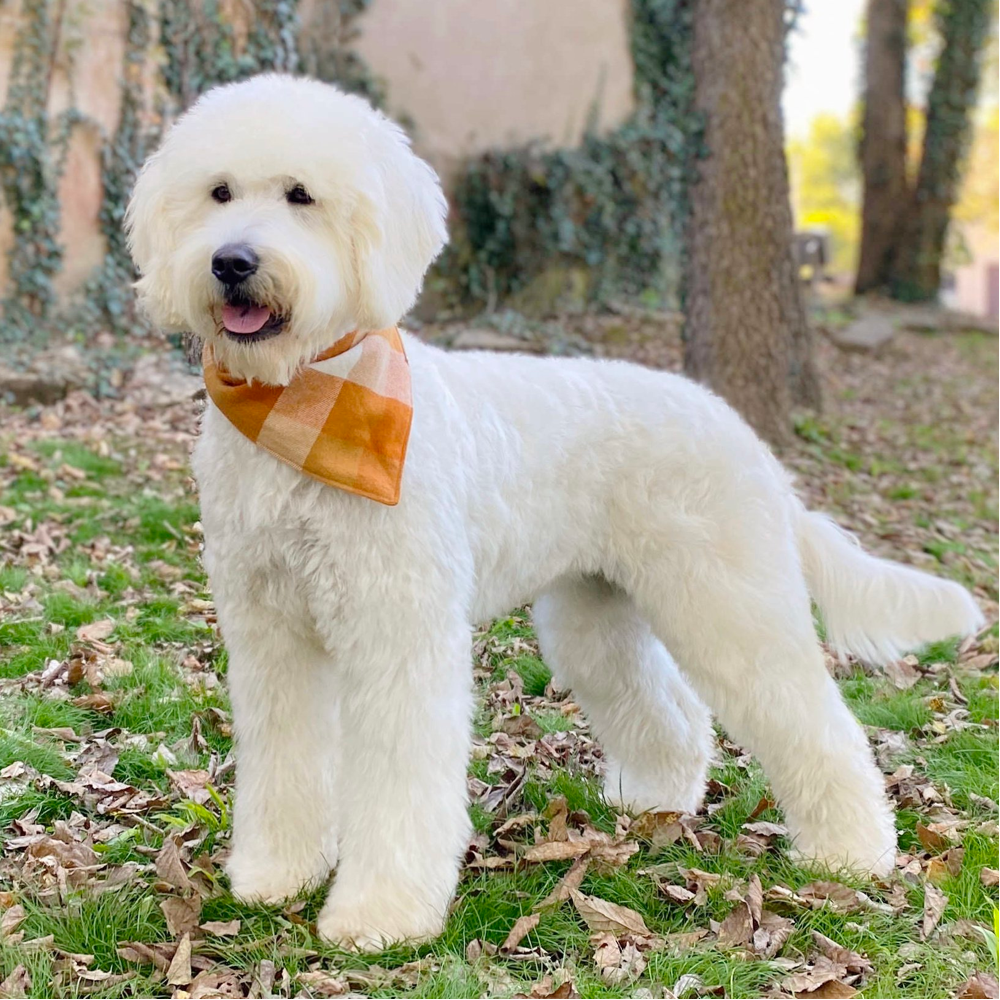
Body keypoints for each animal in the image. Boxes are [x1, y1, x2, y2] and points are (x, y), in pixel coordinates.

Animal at [123, 74, 976, 948]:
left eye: (301, 195)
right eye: (219, 193)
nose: (232, 261)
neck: (303, 400)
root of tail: (741, 433)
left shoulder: (398, 634)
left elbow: (399, 780)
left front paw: (380, 915)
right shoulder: (272, 635)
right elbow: (285, 758)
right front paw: (275, 874)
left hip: (729, 607)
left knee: (820, 727)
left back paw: (851, 854)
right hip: (596, 620)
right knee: (672, 718)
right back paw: (654, 804)